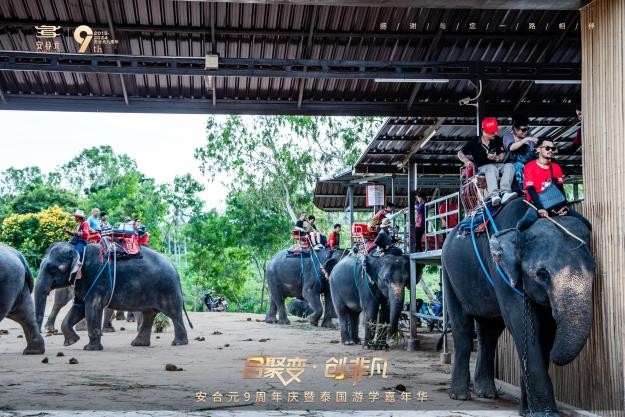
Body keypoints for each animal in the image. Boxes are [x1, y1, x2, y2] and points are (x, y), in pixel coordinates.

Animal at [35, 242, 191, 350]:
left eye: (52, 269)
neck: (79, 249)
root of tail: (175, 268)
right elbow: (79, 308)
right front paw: (72, 342)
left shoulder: (98, 279)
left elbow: (92, 308)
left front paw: (90, 348)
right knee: (149, 314)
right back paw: (138, 344)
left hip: (168, 288)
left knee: (174, 313)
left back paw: (178, 343)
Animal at [442, 197, 592, 414]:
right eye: (542, 274)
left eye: (594, 269)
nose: (554, 356)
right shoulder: (500, 269)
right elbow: (523, 325)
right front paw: (544, 413)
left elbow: (544, 329)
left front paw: (528, 410)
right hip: (449, 274)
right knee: (462, 328)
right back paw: (460, 395)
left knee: (489, 331)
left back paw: (487, 393)